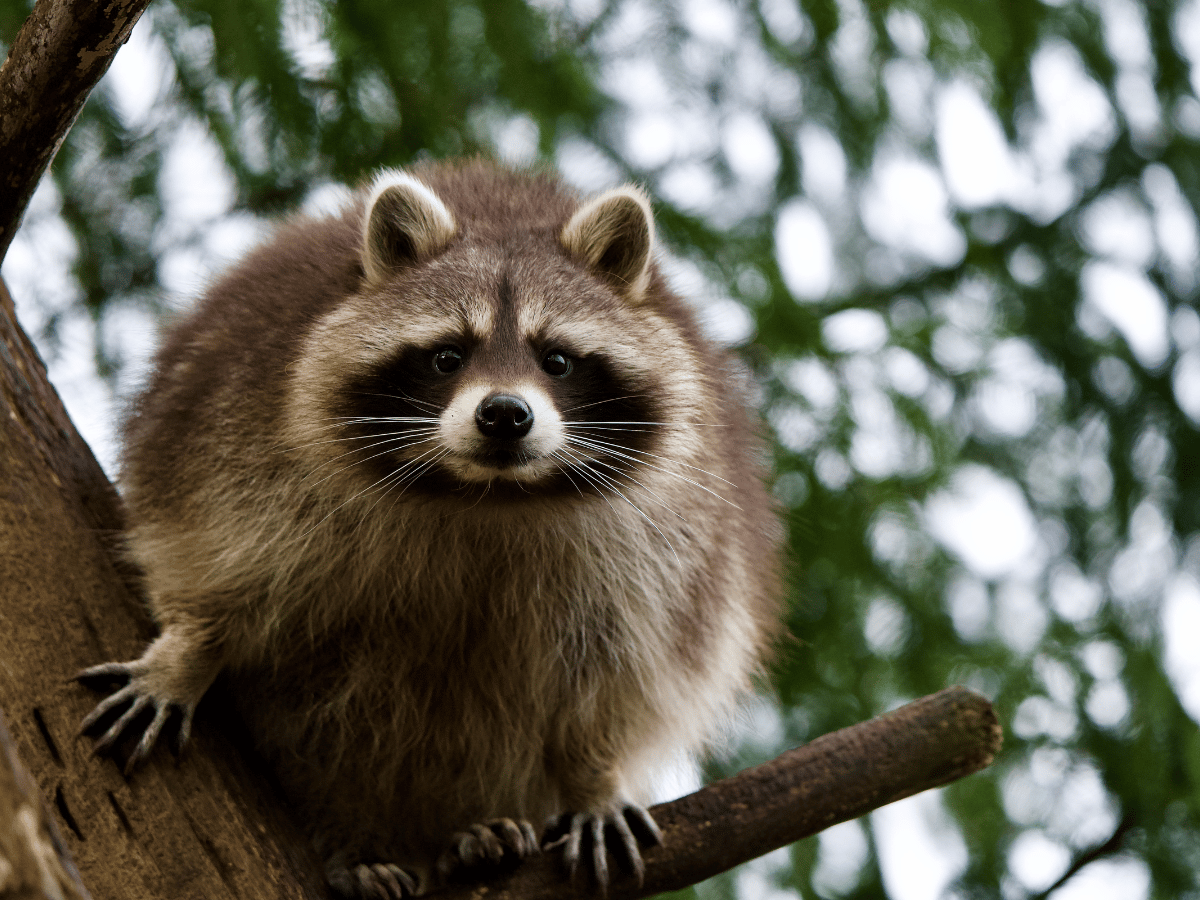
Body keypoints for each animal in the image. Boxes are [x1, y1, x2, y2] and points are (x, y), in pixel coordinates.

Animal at [78, 160, 784, 898]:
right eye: (449, 356)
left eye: (556, 360)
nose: (504, 415)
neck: (486, 494)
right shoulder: (243, 434)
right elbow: (221, 557)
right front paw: (189, 650)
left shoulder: (674, 536)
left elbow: (624, 671)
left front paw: (595, 774)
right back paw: (351, 840)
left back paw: (475, 837)